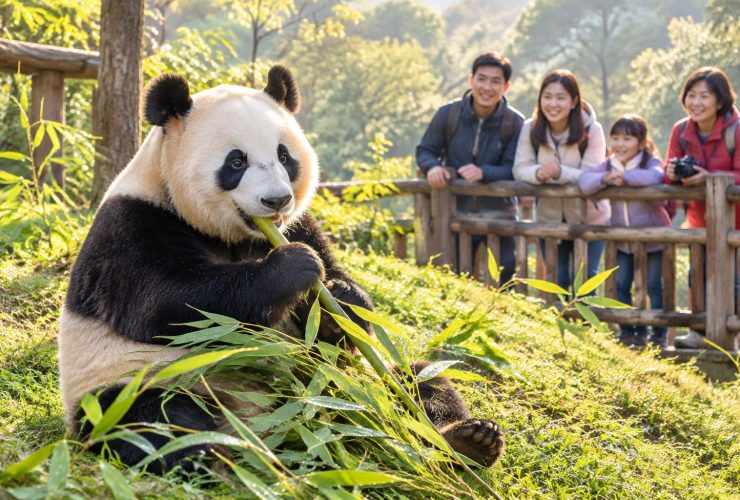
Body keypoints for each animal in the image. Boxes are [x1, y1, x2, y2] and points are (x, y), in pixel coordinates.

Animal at [58, 66, 503, 473]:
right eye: (236, 161)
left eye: (284, 156)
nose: (276, 201)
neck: (237, 235)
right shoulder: (133, 226)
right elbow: (172, 304)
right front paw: (293, 268)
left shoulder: (298, 224)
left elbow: (332, 310)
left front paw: (341, 299)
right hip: (139, 382)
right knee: (153, 423)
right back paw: (220, 455)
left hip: (349, 378)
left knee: (419, 380)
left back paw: (467, 440)